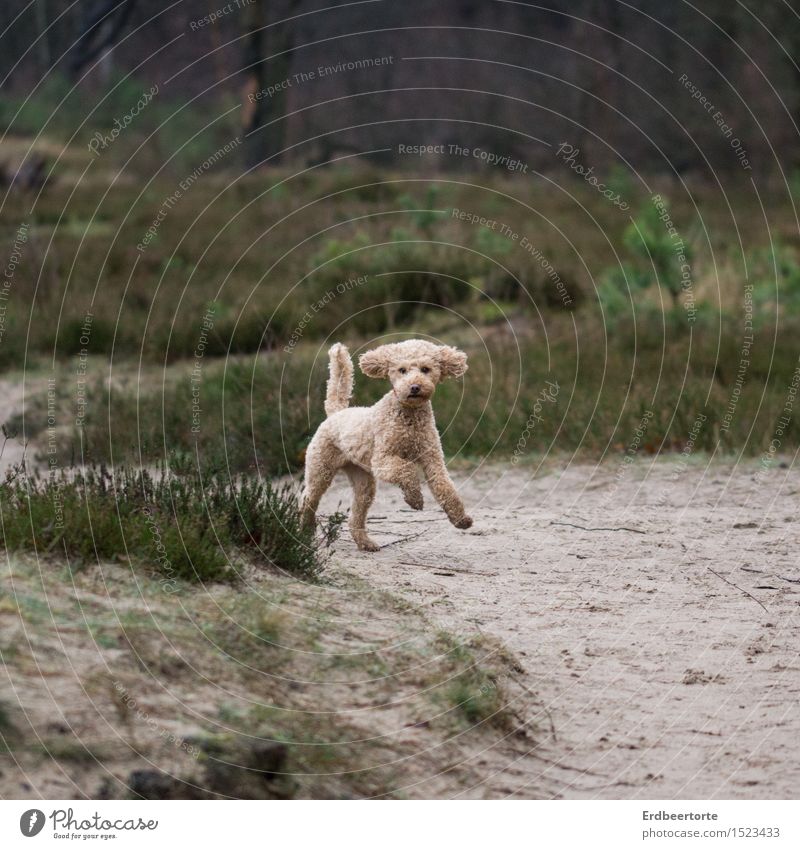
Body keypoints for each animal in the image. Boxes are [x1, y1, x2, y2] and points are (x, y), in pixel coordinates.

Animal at [304, 342, 472, 552]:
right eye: (402, 370)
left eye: (426, 369)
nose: (414, 387)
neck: (409, 416)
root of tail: (336, 413)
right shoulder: (382, 459)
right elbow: (407, 469)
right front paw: (414, 498)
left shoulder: (433, 459)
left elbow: (445, 487)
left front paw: (461, 519)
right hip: (320, 470)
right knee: (307, 499)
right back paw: (304, 530)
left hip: (363, 482)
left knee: (356, 516)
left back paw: (365, 543)